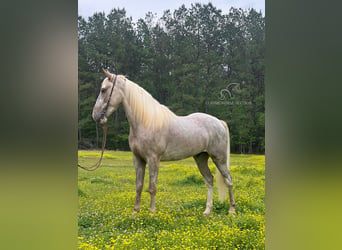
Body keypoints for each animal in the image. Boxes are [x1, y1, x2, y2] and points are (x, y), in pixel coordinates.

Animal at [91, 68, 235, 215]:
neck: (145, 122)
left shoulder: (153, 159)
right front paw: (135, 213)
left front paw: (152, 213)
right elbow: (139, 186)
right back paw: (207, 211)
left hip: (219, 158)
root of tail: (219, 122)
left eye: (103, 90)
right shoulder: (138, 159)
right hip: (201, 158)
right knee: (209, 180)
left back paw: (231, 211)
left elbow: (152, 187)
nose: (95, 116)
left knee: (228, 180)